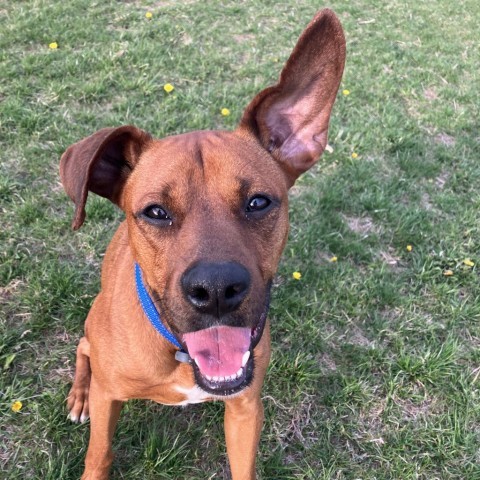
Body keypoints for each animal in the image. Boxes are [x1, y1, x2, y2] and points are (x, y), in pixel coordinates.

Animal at [60, 8, 344, 480]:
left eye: (258, 202)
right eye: (156, 211)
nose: (215, 291)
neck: (179, 354)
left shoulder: (245, 408)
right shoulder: (108, 397)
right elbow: (99, 454)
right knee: (84, 352)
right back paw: (79, 394)